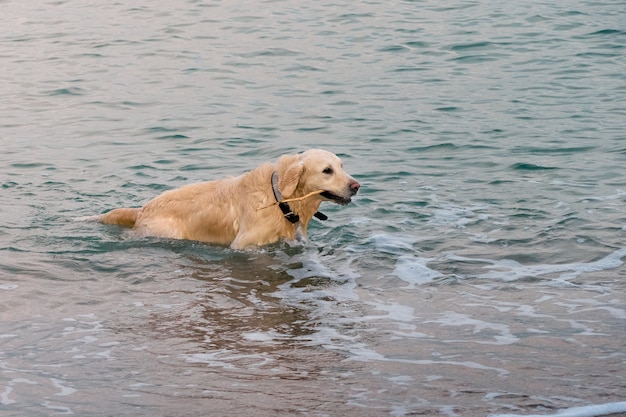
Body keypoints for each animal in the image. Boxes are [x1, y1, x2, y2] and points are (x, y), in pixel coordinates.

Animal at [92, 149, 358, 249]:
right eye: (327, 170)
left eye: (342, 166)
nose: (356, 186)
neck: (278, 196)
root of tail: (142, 209)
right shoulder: (244, 245)